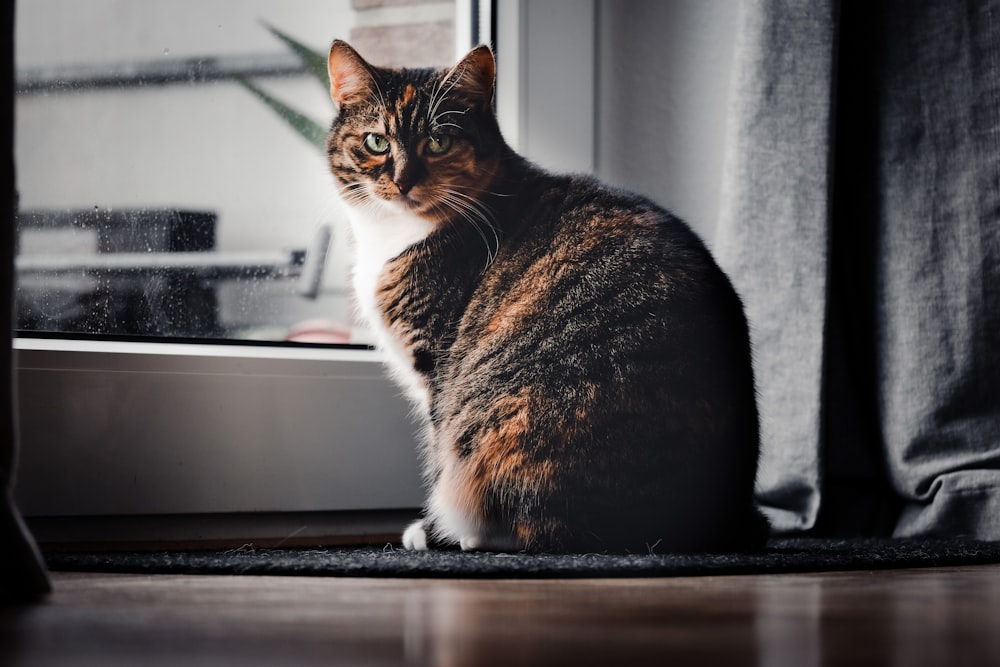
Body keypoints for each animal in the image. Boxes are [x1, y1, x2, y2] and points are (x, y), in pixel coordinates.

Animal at [324, 39, 768, 556]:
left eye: (438, 142)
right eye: (376, 142)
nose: (402, 180)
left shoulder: (438, 368)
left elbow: (436, 457)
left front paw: (429, 533)